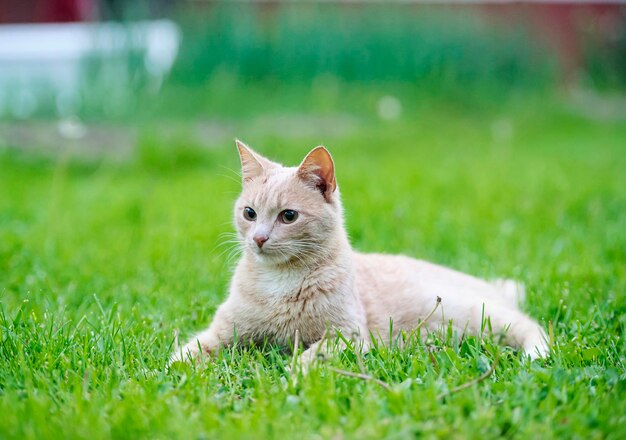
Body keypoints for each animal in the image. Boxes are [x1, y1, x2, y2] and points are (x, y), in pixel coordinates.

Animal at [168, 140, 544, 364]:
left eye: (288, 216)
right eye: (249, 213)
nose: (258, 238)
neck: (279, 280)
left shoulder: (346, 336)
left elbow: (311, 356)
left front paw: (293, 375)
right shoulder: (223, 331)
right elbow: (186, 354)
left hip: (472, 314)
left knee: (531, 326)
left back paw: (536, 355)